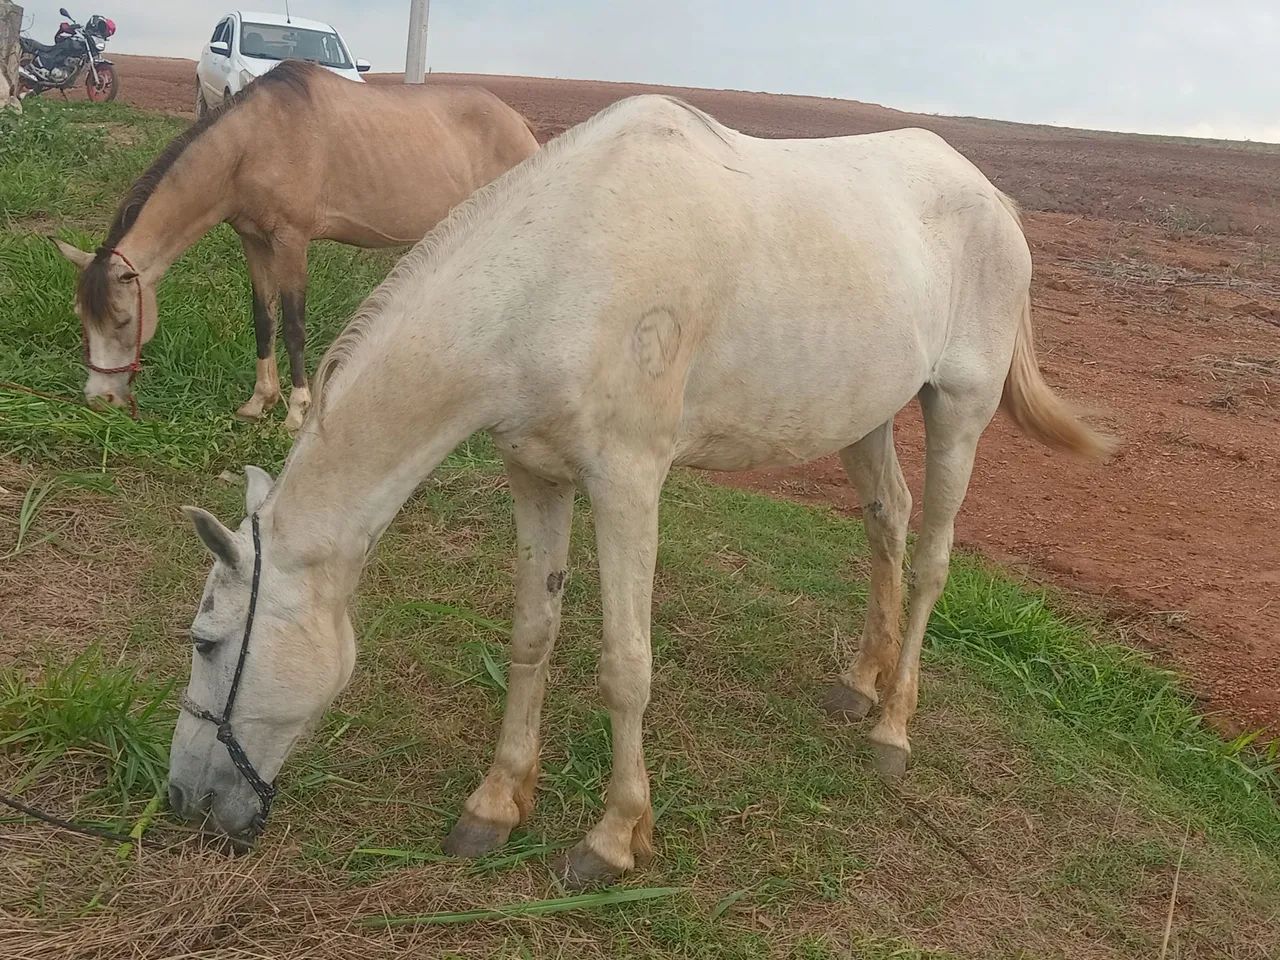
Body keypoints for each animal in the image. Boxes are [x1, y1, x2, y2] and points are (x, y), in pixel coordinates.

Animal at [53, 60, 539, 430]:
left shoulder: (291, 241)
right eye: (81, 316)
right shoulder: (254, 240)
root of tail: (520, 122)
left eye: (122, 319)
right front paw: (260, 401)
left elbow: (293, 325)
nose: (99, 398)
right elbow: (263, 318)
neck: (252, 144)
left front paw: (297, 411)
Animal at [167, 95, 1112, 884]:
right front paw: (496, 805)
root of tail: (994, 197)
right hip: (866, 414)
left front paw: (614, 838)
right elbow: (533, 635)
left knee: (931, 559)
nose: (180, 800)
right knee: (888, 522)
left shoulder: (627, 482)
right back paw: (859, 683)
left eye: (208, 642)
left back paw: (892, 728)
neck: (554, 277)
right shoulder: (536, 474)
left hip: (959, 411)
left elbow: (626, 665)